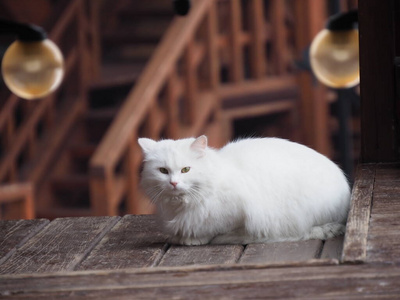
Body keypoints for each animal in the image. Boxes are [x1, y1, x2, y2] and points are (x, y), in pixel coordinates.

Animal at [138, 137, 350, 245]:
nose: (173, 183)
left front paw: (193, 239)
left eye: (185, 170)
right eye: (163, 171)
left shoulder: (240, 214)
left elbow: (221, 230)